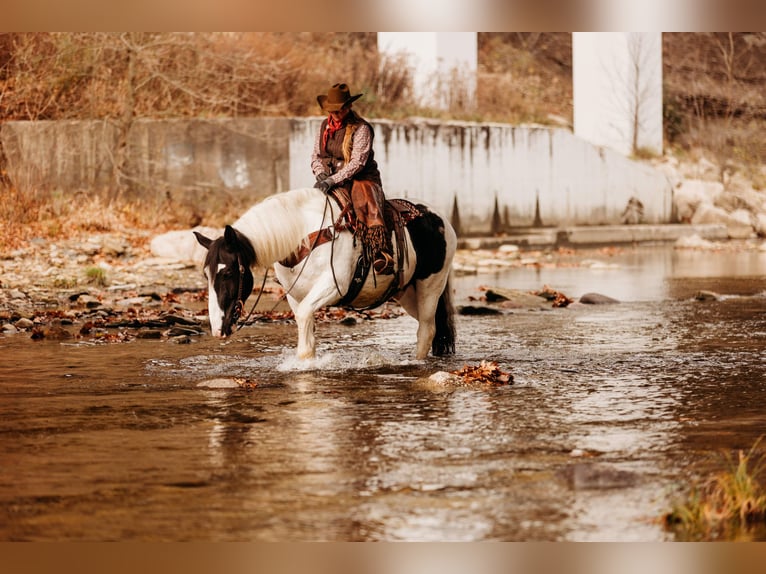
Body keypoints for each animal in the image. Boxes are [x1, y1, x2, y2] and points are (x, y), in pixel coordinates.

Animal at [194, 188, 456, 360]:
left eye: (227, 272)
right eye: (206, 275)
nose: (217, 329)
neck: (304, 235)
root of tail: (441, 218)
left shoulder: (332, 286)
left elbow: (304, 324)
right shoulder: (296, 297)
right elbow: (306, 330)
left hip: (430, 286)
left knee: (427, 329)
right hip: (407, 293)